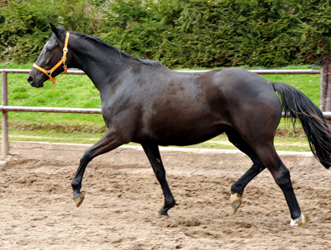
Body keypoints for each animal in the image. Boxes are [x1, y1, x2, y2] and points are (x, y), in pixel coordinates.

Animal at [26, 23, 331, 227]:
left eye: (49, 48)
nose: (31, 78)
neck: (120, 78)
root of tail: (268, 83)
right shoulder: (146, 140)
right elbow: (159, 172)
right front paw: (166, 207)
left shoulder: (118, 135)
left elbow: (85, 154)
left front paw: (77, 192)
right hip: (237, 136)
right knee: (258, 164)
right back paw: (235, 194)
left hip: (258, 138)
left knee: (280, 173)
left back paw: (296, 217)